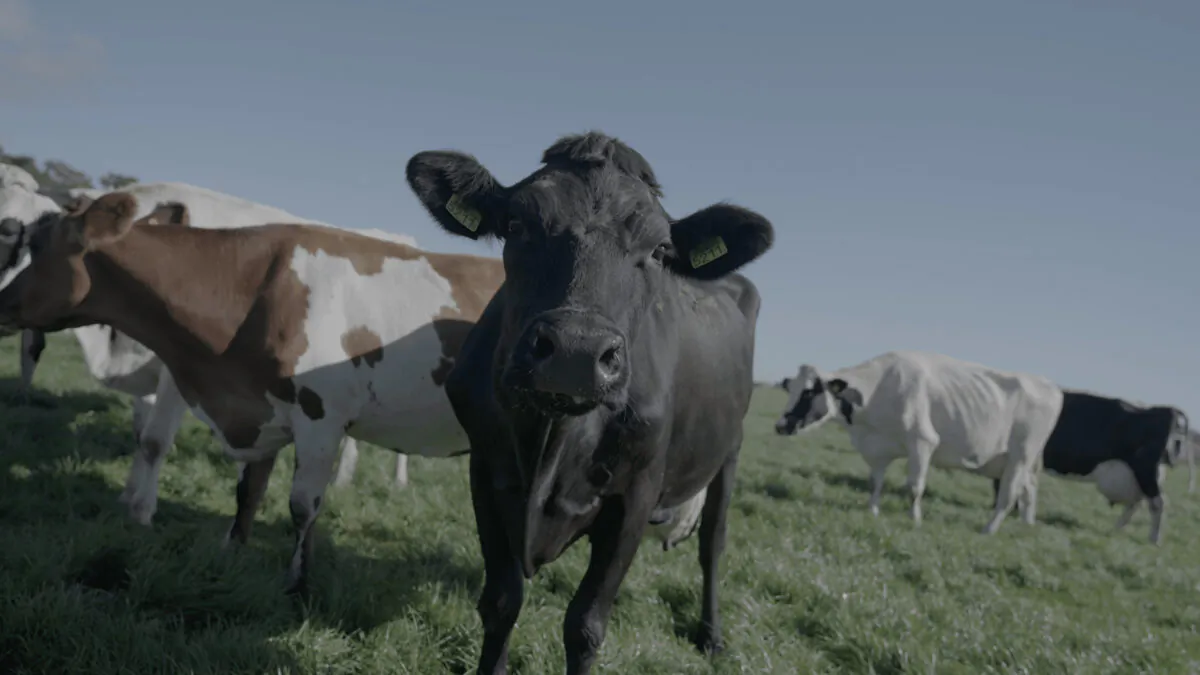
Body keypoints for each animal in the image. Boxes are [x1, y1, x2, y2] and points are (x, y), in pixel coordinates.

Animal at [0, 191, 506, 594]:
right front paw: (231, 554)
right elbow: (249, 493)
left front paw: (298, 584)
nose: (2, 303)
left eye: (37, 247)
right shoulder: (261, 406)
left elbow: (303, 506)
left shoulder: (321, 416)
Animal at [405, 131, 774, 675]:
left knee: (713, 543)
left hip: (730, 449)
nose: (575, 352)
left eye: (660, 250)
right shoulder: (486, 472)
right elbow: (500, 602)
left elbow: (585, 626)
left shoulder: (635, 495)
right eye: (516, 224)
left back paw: (711, 635)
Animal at [774, 351, 1064, 533]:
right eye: (790, 389)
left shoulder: (922, 441)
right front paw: (873, 511)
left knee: (1008, 495)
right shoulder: (877, 449)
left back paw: (988, 530)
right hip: (1019, 462)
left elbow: (915, 487)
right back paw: (1026, 526)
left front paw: (914, 520)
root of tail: (1050, 385)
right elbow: (874, 483)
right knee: (1029, 490)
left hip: (1020, 456)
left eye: (809, 392)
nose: (780, 425)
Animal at [991, 391, 1191, 544]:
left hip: (1145, 470)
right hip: (1143, 475)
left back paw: (1153, 540)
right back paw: (1116, 529)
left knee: (1157, 503)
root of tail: (1166, 409)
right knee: (1138, 503)